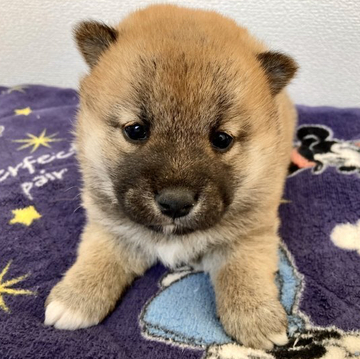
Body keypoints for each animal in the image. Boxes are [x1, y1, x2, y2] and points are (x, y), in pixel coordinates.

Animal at [44, 4, 298, 350]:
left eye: (221, 139)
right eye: (136, 130)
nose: (176, 203)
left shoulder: (251, 233)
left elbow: (242, 271)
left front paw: (256, 318)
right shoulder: (109, 227)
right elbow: (98, 257)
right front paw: (75, 298)